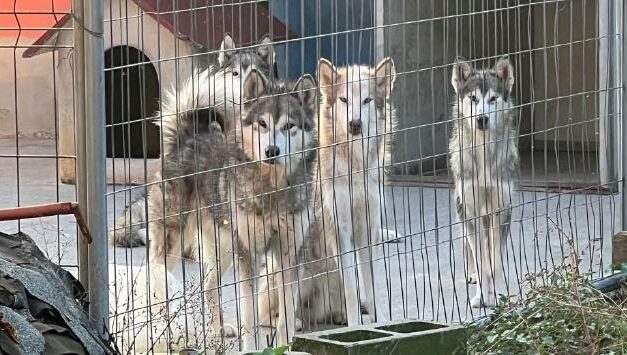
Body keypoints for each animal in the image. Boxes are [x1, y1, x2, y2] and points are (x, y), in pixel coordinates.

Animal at [148, 70, 318, 350]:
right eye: (262, 123)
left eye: (288, 126)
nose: (271, 151)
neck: (271, 190)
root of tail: (188, 136)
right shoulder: (249, 255)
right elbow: (249, 316)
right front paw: (250, 349)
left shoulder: (290, 255)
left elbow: (286, 316)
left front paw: (286, 347)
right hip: (174, 242)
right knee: (157, 283)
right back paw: (164, 333)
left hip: (224, 247)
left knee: (208, 285)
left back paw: (218, 329)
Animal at [452, 56, 520, 308]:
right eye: (473, 99)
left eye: (492, 99)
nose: (482, 119)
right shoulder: (469, 209)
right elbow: (482, 262)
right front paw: (481, 296)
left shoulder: (502, 209)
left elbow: (495, 262)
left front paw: (496, 296)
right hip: (463, 210)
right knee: (470, 247)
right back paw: (471, 275)